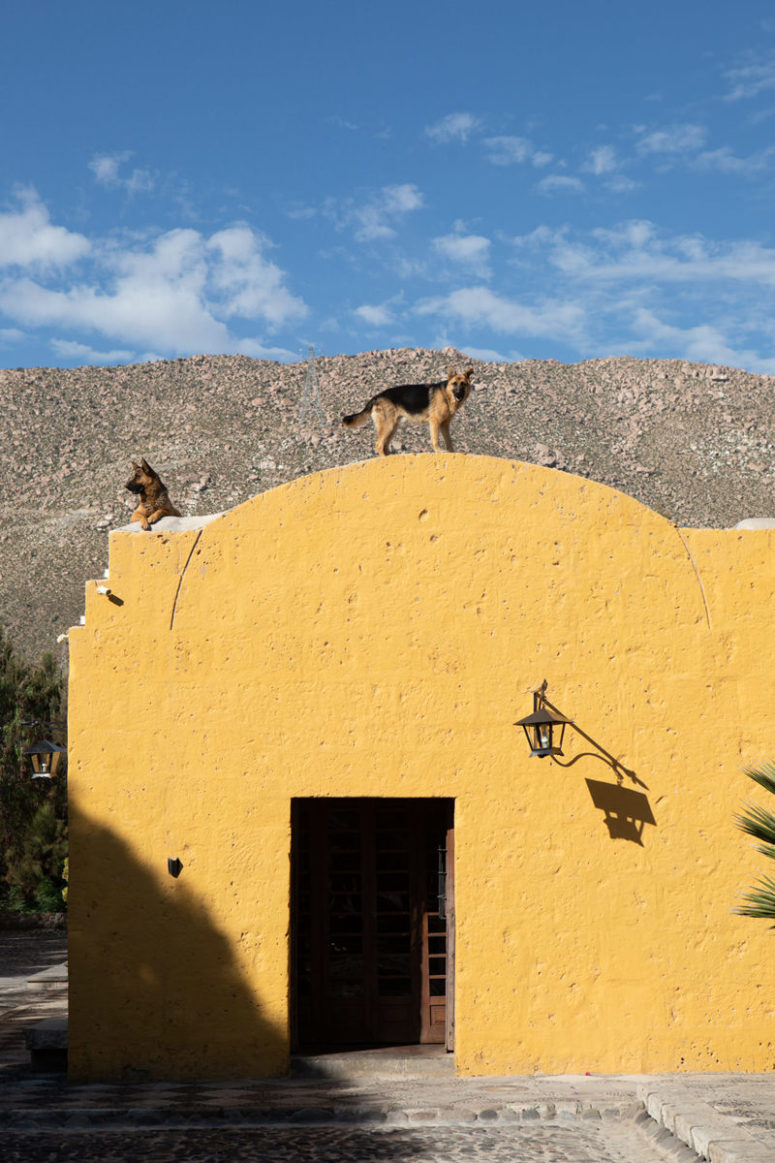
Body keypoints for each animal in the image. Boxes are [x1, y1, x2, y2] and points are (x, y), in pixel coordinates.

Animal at [339, 365, 470, 455]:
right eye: (454, 384)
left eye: (463, 384)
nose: (459, 394)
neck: (445, 394)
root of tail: (376, 397)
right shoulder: (434, 421)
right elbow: (435, 440)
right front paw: (439, 451)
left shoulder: (444, 424)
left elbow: (449, 441)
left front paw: (452, 452)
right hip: (388, 425)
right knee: (379, 445)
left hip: (392, 427)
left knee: (384, 446)